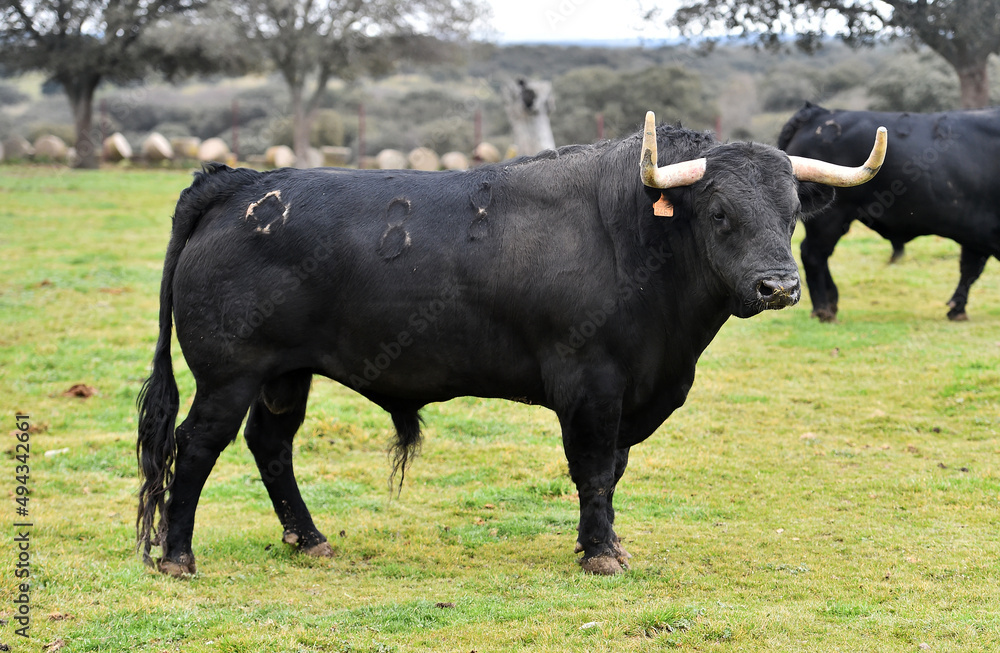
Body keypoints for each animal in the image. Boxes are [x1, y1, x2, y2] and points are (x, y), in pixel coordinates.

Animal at [780, 101, 1000, 320]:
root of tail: (818, 112)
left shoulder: (975, 233)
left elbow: (969, 269)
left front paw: (957, 309)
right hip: (828, 218)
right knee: (813, 254)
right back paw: (823, 309)